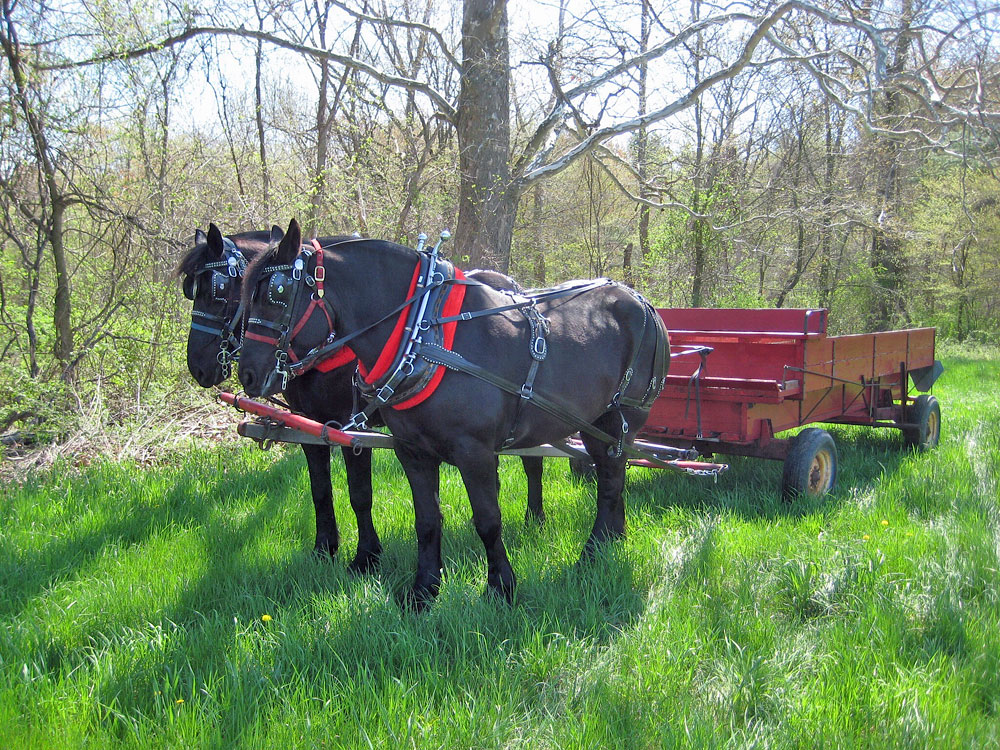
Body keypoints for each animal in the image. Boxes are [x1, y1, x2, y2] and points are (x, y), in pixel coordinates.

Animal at [176, 226, 544, 572]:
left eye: (218, 290)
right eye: (191, 291)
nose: (198, 366)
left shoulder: (352, 429)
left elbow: (360, 494)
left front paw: (366, 556)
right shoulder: (310, 427)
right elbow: (320, 491)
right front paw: (324, 548)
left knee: (532, 460)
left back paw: (534, 518)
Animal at [238, 217, 668, 612]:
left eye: (277, 293)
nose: (248, 374)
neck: (422, 334)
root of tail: (640, 300)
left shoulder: (474, 452)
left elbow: (488, 520)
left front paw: (500, 588)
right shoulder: (411, 451)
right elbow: (426, 520)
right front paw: (423, 591)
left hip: (620, 420)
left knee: (610, 482)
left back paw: (592, 552)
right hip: (597, 425)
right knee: (612, 478)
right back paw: (611, 540)